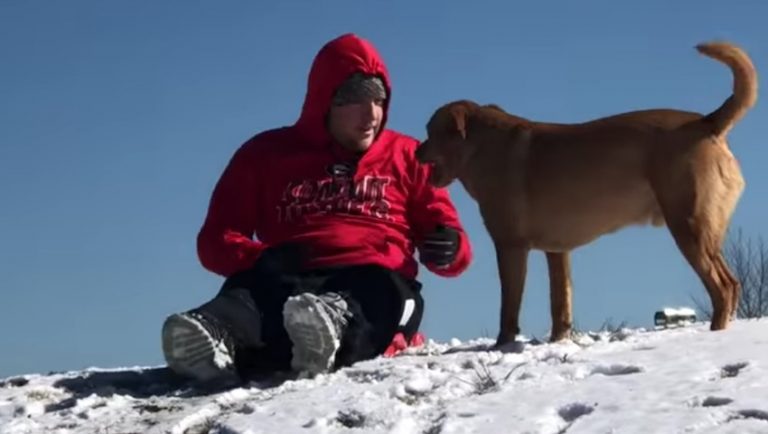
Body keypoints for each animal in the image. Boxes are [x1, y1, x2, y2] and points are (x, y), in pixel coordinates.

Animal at [414, 40, 756, 346]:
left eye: (430, 131)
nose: (417, 150)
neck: (481, 148)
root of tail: (707, 122)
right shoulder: (557, 251)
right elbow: (560, 303)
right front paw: (558, 340)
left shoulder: (510, 246)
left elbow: (509, 306)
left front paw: (502, 345)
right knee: (732, 284)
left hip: (689, 225)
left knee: (724, 286)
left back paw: (714, 334)